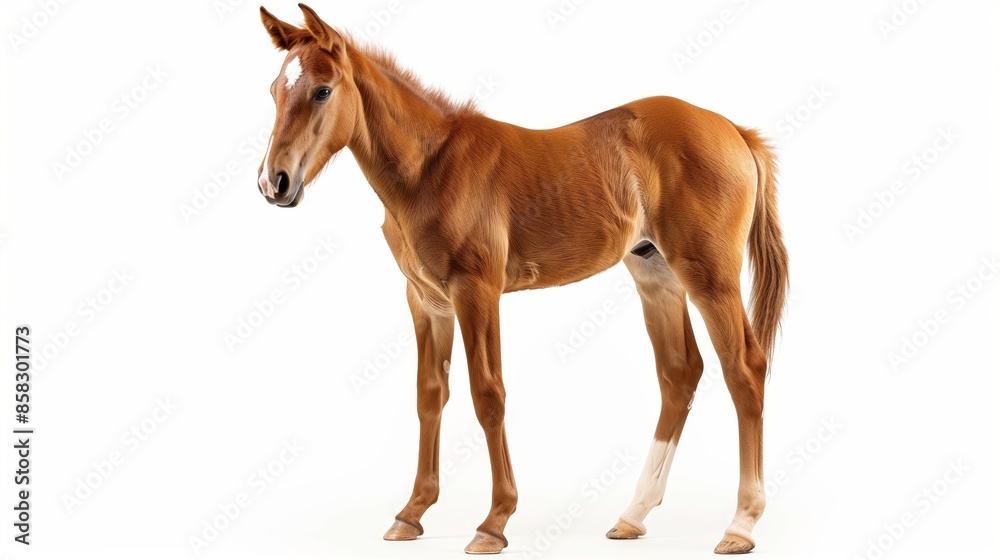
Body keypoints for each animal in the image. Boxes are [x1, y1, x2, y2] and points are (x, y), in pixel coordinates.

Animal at [257, 4, 789, 555]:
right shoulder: (426, 300)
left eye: (323, 90)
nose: (274, 182)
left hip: (710, 275)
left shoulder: (476, 291)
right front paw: (412, 513)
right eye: (275, 90)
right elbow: (429, 395)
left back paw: (741, 525)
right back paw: (633, 516)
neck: (431, 169)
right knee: (680, 373)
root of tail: (733, 129)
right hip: (655, 273)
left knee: (745, 368)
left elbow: (488, 395)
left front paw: (494, 522)